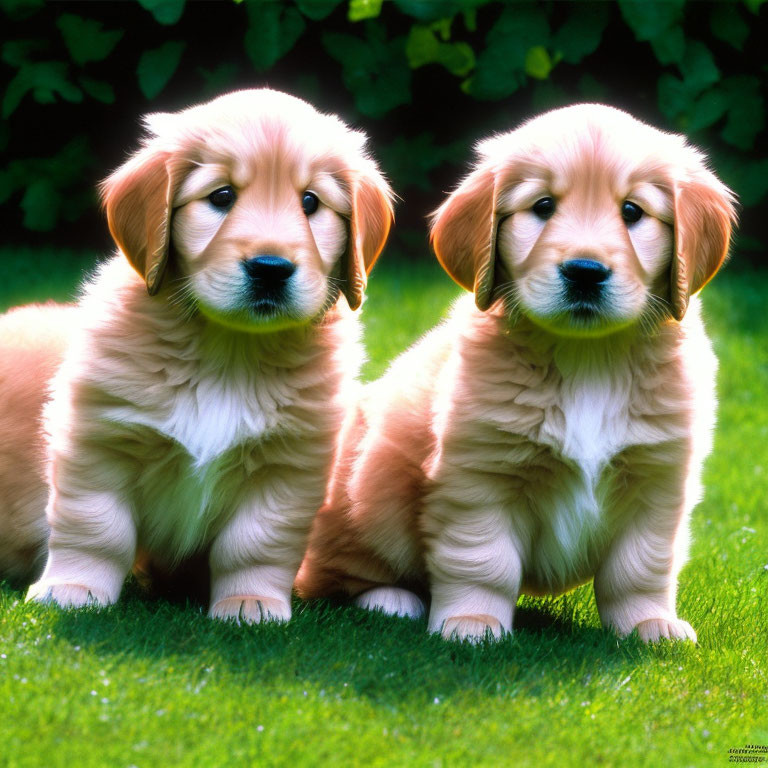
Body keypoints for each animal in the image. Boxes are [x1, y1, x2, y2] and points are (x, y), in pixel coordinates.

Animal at [14, 87, 392, 620]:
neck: (229, 351)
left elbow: (255, 542)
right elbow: (95, 526)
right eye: (221, 197)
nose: (270, 268)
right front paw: (74, 589)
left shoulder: (288, 467)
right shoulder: (99, 441)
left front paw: (250, 603)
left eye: (310, 202)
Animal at [296, 102, 736, 640]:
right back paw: (390, 599)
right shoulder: (480, 478)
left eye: (632, 211)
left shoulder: (659, 482)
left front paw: (649, 624)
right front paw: (473, 621)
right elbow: (484, 560)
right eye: (542, 207)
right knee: (337, 574)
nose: (585, 272)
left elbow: (641, 567)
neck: (589, 358)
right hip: (369, 492)